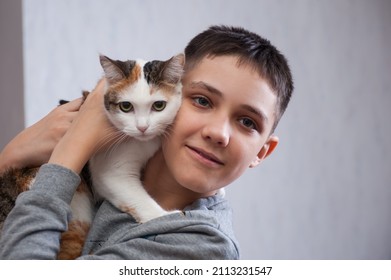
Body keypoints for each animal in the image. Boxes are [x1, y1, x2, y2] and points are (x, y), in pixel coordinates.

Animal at [0, 53, 185, 260]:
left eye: (159, 105)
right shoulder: (110, 172)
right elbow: (139, 200)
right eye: (126, 106)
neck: (145, 142)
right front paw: (167, 217)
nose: (142, 127)